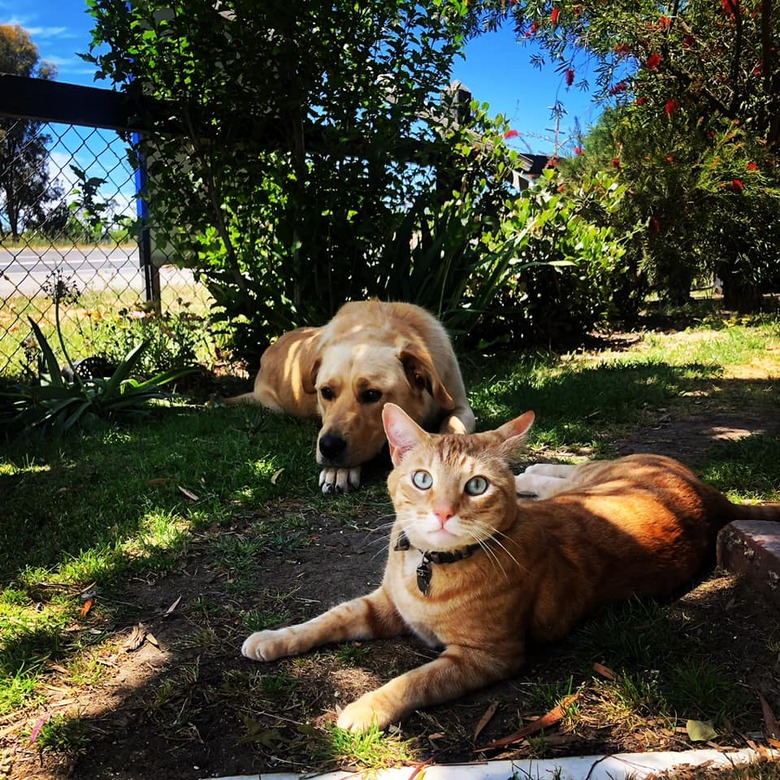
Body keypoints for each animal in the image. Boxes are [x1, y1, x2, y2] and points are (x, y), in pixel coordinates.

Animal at [241, 402, 776, 732]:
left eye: (476, 486)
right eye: (422, 479)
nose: (443, 512)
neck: (430, 571)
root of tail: (714, 496)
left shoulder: (487, 657)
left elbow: (414, 680)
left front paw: (365, 708)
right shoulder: (383, 605)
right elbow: (325, 618)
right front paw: (273, 638)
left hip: (595, 478)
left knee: (556, 472)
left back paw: (529, 471)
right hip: (592, 479)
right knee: (556, 472)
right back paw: (532, 471)